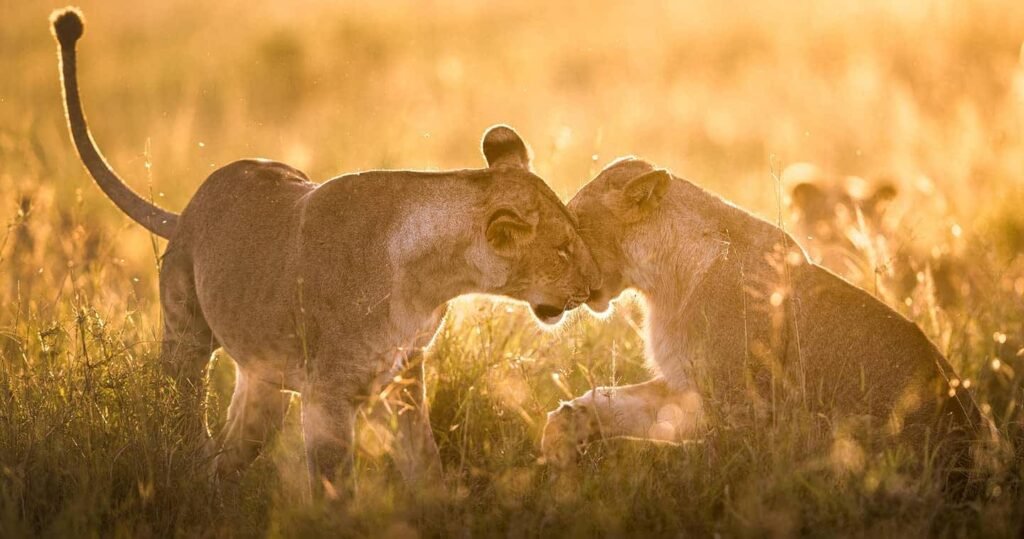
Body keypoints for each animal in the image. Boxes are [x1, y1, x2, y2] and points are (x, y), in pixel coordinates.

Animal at [51, 6, 598, 500]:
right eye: (563, 250)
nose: (595, 289)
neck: (432, 281)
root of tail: (185, 211)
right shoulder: (327, 395)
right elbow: (337, 486)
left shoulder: (404, 378)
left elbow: (424, 461)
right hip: (185, 335)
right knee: (181, 406)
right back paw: (182, 468)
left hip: (264, 384)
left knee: (231, 450)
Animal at [544, 158, 999, 491]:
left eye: (574, 221)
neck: (662, 281)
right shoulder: (687, 387)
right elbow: (615, 403)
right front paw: (561, 431)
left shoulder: (746, 410)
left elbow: (709, 465)